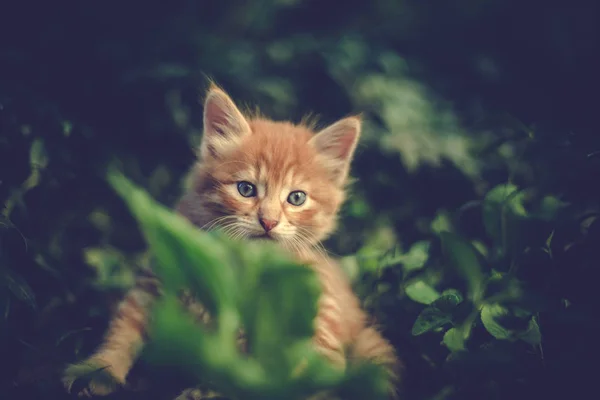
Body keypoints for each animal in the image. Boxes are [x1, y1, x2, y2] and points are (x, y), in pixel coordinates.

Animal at [62, 83, 404, 396]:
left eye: (296, 198)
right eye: (246, 189)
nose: (269, 221)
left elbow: (238, 377)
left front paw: (203, 391)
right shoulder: (155, 282)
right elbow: (124, 330)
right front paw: (97, 370)